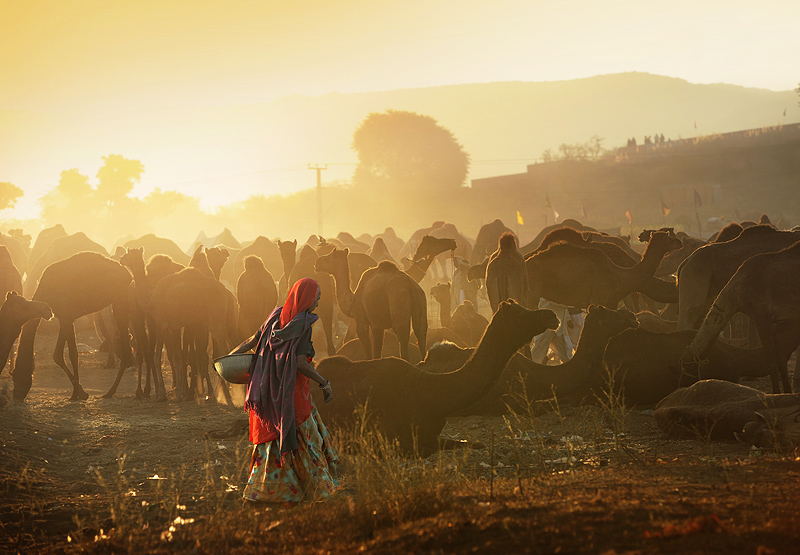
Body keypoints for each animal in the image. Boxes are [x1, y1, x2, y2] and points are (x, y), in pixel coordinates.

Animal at [12, 253, 132, 404]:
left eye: (16, 376)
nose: (17, 396)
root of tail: (126, 272)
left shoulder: (65, 318)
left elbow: (57, 355)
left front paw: (82, 393)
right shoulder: (68, 319)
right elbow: (73, 354)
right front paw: (75, 394)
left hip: (119, 299)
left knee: (125, 346)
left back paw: (110, 392)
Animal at [310, 302, 560, 454]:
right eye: (520, 313)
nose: (551, 315)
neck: (430, 396)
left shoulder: (433, 436)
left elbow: (474, 443)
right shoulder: (394, 442)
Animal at [524, 229, 680, 308]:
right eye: (670, 239)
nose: (680, 242)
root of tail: (526, 261)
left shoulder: (612, 302)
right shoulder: (599, 299)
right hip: (533, 290)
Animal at [680, 243, 800, 396]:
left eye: (687, 368)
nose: (680, 385)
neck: (736, 292)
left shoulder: (761, 316)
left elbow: (771, 362)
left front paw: (775, 394)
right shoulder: (774, 321)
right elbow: (781, 360)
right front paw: (786, 392)